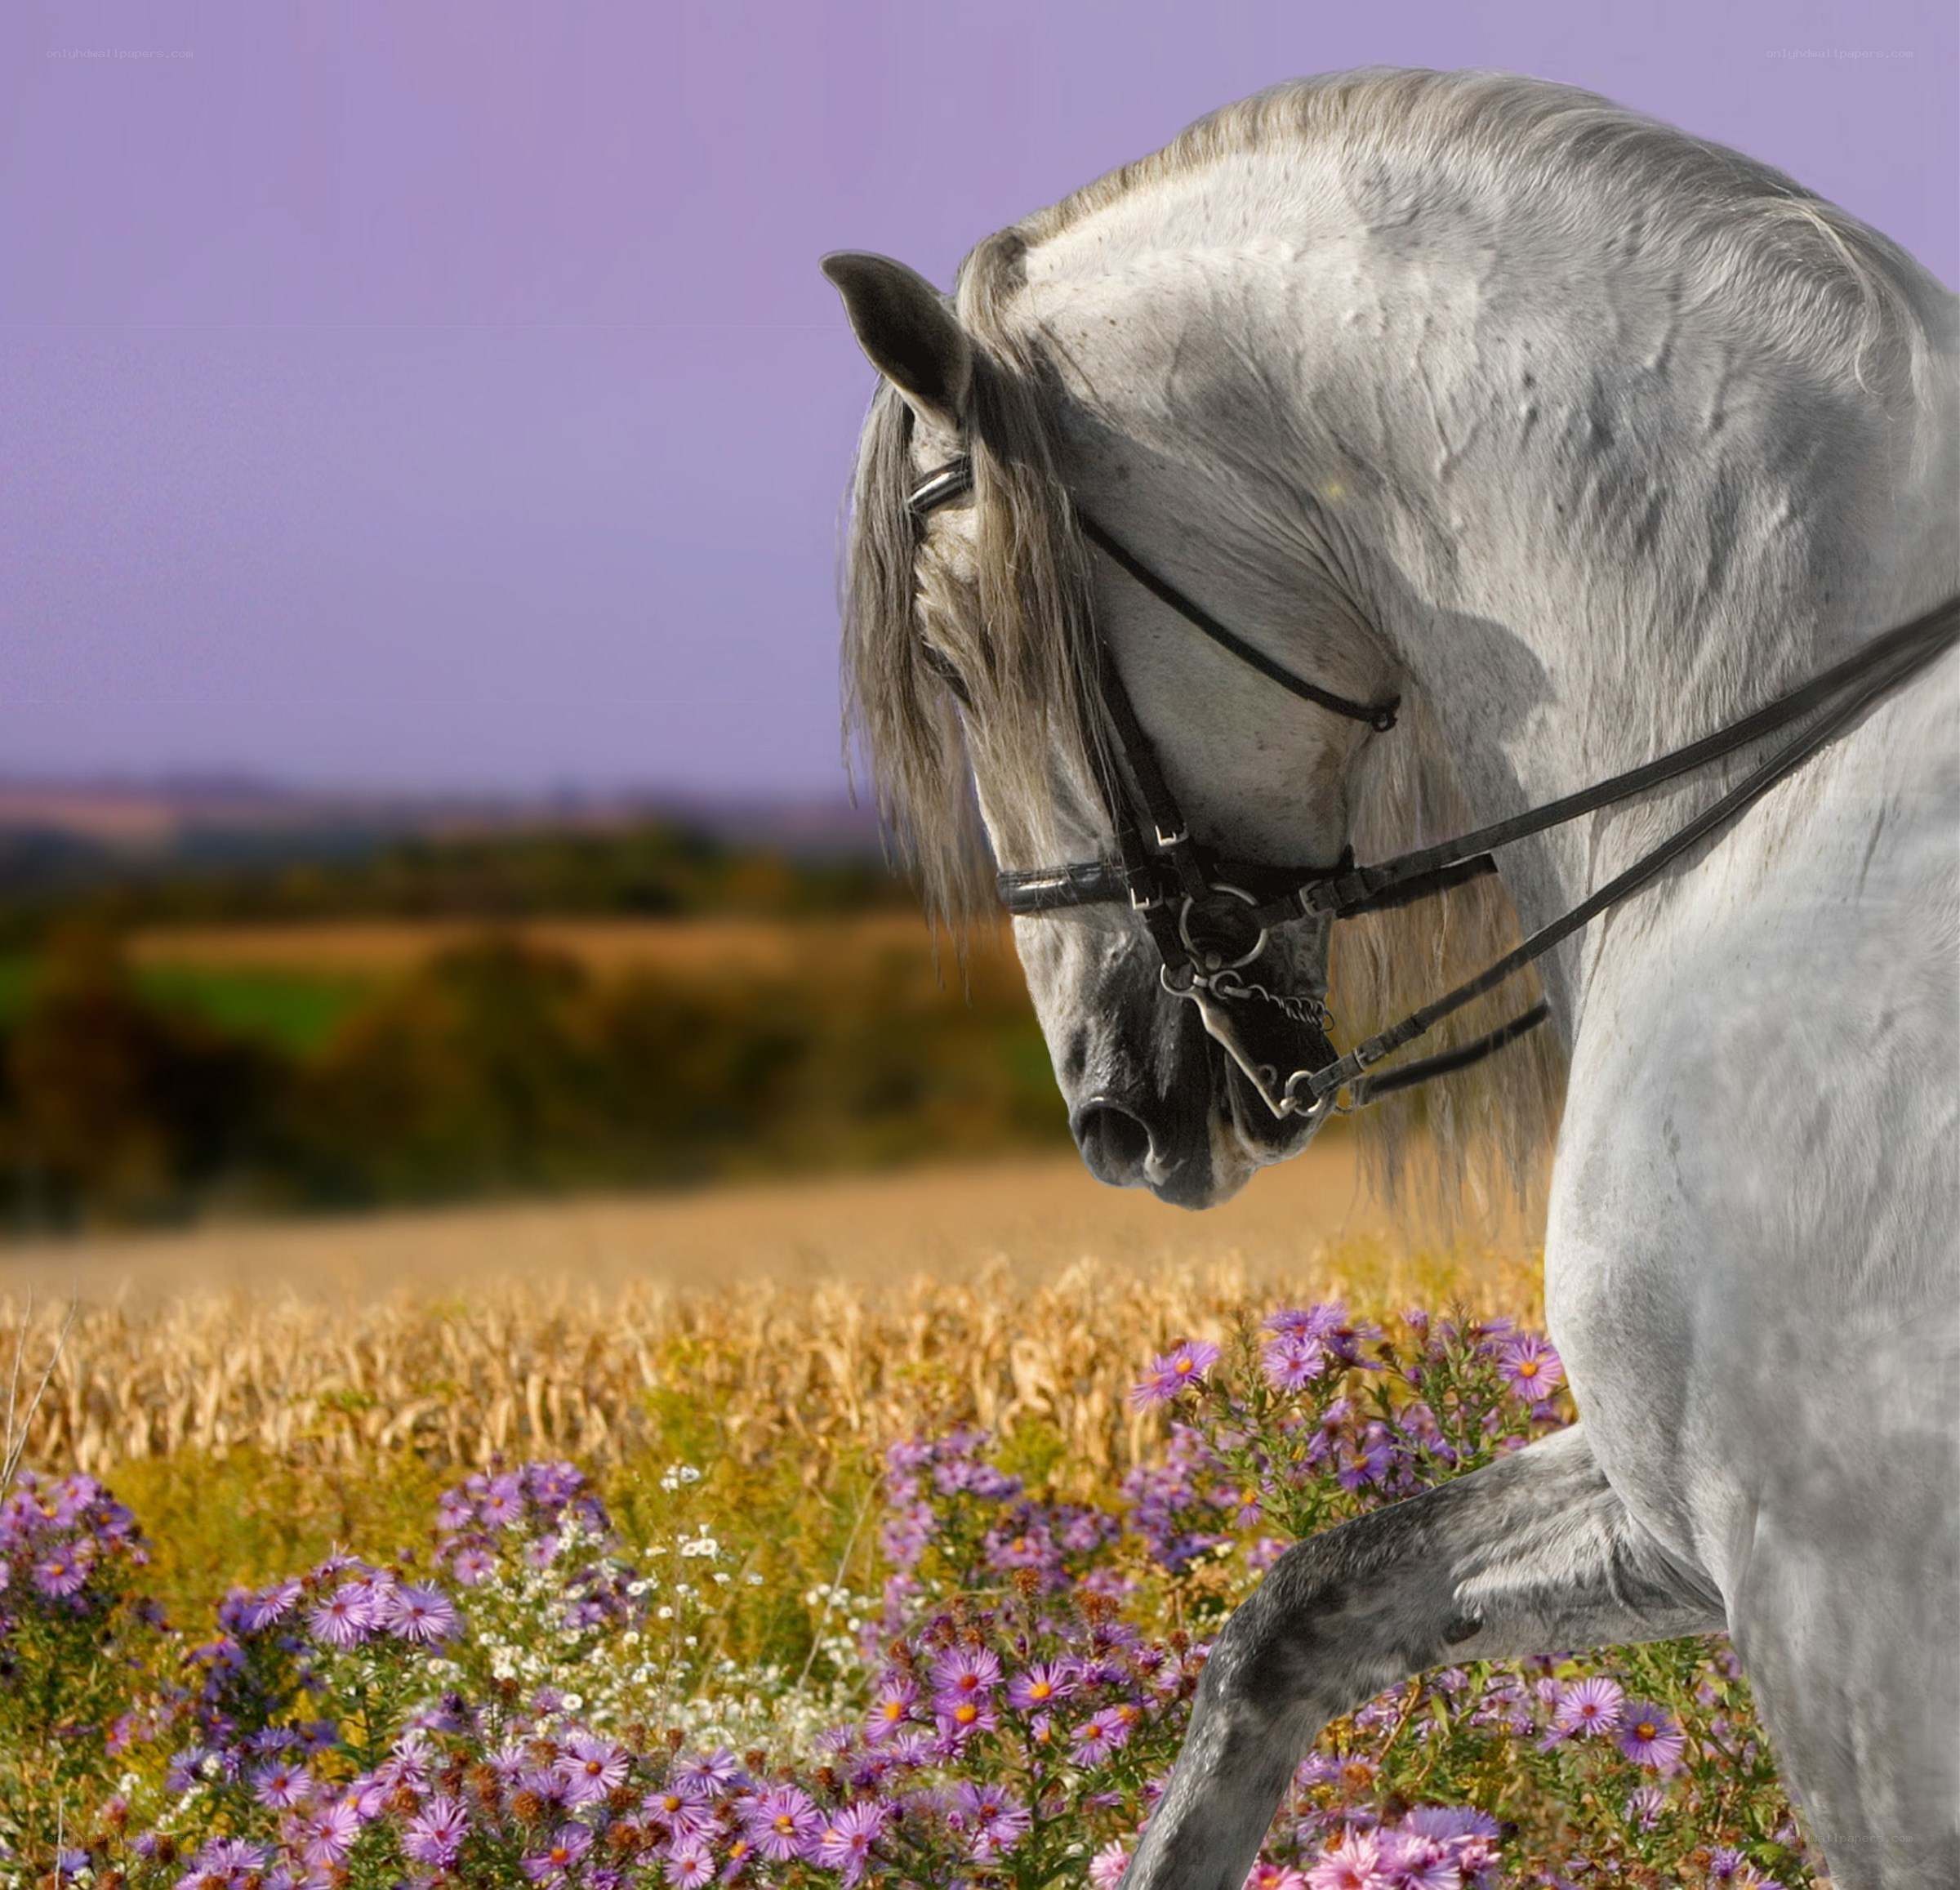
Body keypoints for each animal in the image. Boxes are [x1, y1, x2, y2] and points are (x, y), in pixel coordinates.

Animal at [822, 68, 1959, 1888]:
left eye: (955, 649)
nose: (1113, 1118)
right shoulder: (1671, 1502)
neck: (1783, 796)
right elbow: (1296, 1610)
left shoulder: (1828, 1589)